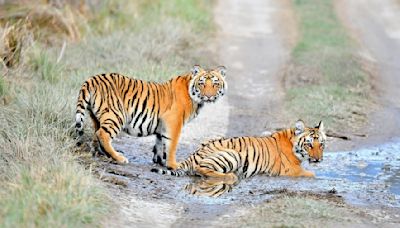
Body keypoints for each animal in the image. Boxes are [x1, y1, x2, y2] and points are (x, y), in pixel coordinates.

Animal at [74, 65, 227, 168]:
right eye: (202, 84)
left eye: (215, 84)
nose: (209, 96)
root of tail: (92, 79)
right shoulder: (174, 122)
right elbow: (172, 145)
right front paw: (173, 165)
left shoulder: (162, 125)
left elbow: (160, 143)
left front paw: (160, 161)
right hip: (117, 115)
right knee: (103, 134)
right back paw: (119, 157)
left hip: (97, 117)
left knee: (96, 134)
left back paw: (100, 153)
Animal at [152, 120, 326, 181]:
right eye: (309, 144)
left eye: (321, 144)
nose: (318, 159)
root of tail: (192, 155)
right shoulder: (291, 170)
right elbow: (310, 174)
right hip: (232, 154)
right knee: (201, 169)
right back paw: (230, 176)